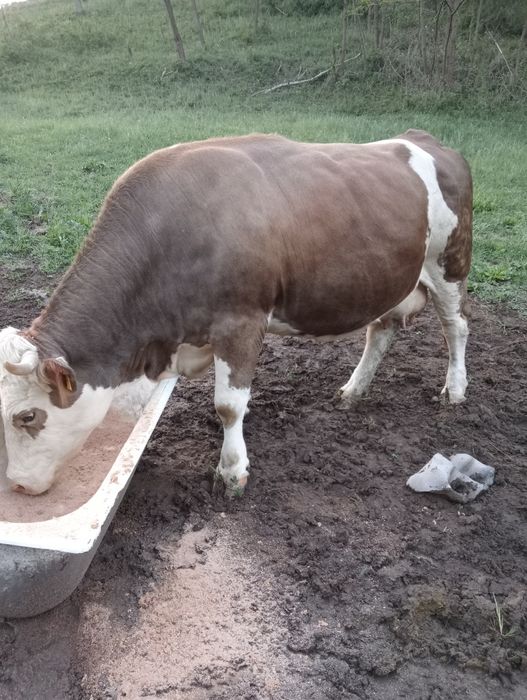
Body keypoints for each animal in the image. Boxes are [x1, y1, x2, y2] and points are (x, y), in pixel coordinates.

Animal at [0, 130, 472, 496]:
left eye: (26, 417)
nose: (18, 484)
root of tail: (422, 139)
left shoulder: (241, 322)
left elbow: (228, 405)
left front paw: (231, 472)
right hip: (389, 277)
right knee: (382, 329)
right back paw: (354, 390)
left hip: (449, 261)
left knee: (456, 327)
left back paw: (455, 390)